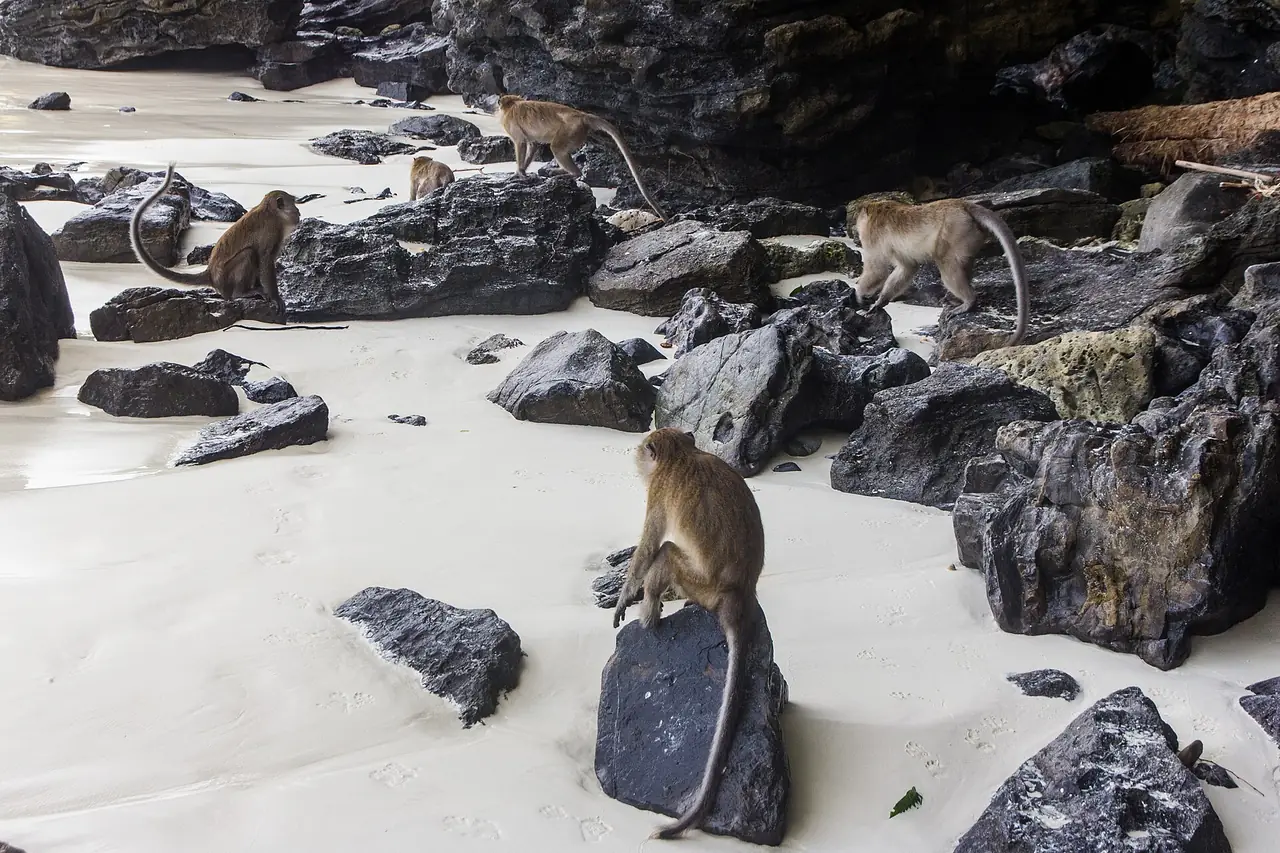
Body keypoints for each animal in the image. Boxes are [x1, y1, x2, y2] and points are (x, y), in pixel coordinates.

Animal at [129, 163, 301, 321]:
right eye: (293, 203)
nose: (298, 211)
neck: (272, 212)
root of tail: (211, 274)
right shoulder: (272, 229)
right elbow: (265, 260)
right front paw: (276, 298)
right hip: (225, 279)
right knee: (248, 254)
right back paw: (241, 292)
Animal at [495, 94, 666, 221]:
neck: (513, 104)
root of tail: (582, 115)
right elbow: (532, 145)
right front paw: (523, 171)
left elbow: (520, 144)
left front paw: (518, 173)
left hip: (570, 131)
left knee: (557, 149)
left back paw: (567, 174)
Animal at [612, 427, 765, 840]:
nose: (635, 459)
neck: (682, 455)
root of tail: (737, 594)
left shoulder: (658, 490)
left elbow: (648, 547)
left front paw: (626, 596)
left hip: (698, 583)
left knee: (666, 552)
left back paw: (649, 613)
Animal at [852, 198, 1030, 348]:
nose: (856, 227)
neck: (877, 209)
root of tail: (964, 205)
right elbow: (908, 267)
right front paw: (881, 301)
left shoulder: (872, 235)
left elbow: (878, 270)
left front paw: (859, 294)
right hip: (970, 237)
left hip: (955, 231)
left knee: (947, 267)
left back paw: (969, 301)